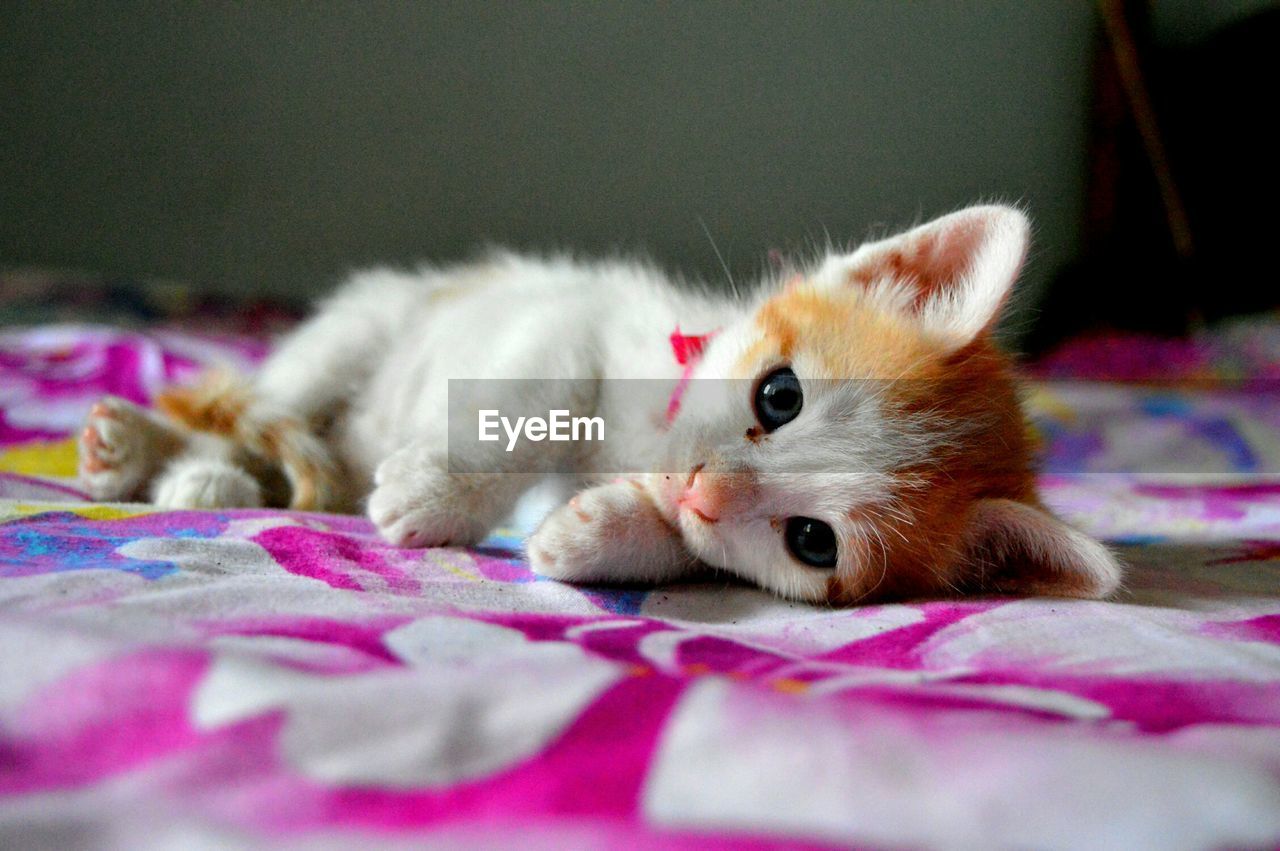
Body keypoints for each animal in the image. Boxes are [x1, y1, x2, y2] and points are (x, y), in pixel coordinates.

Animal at [77, 204, 1121, 604]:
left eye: (812, 541)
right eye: (779, 393)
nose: (701, 483)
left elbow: (679, 545)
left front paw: (599, 532)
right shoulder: (574, 320)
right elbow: (529, 400)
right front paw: (441, 492)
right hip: (361, 324)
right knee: (259, 402)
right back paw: (167, 456)